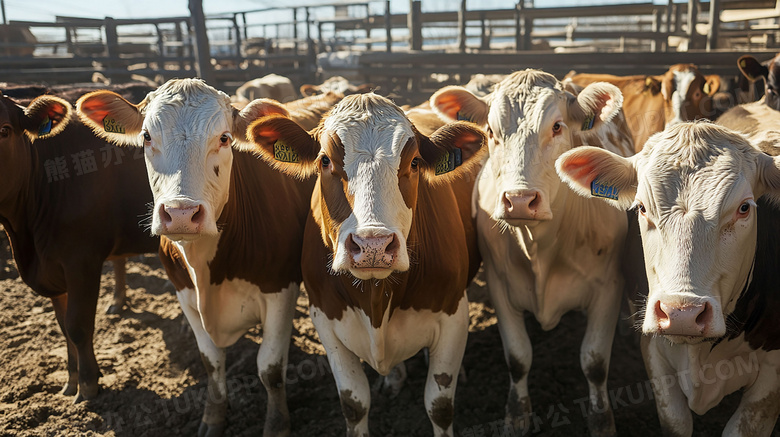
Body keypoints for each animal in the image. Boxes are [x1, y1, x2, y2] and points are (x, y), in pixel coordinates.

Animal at [0, 93, 159, 400]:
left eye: (3, 130)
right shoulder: (53, 269)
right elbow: (63, 328)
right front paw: (71, 380)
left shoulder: (82, 261)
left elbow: (77, 326)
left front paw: (87, 385)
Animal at [247, 93, 484, 436]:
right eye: (325, 161)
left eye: (414, 162)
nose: (373, 245)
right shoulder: (325, 319)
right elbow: (354, 403)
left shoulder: (453, 315)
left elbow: (439, 406)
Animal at [430, 70, 636, 434]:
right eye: (491, 131)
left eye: (557, 126)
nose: (520, 200)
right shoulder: (499, 285)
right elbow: (518, 358)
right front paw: (517, 416)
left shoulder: (608, 287)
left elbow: (595, 362)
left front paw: (602, 420)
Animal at [556, 120, 780, 436]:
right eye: (641, 207)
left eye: (745, 207)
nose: (681, 313)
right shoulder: (654, 352)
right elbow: (676, 422)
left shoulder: (771, 375)